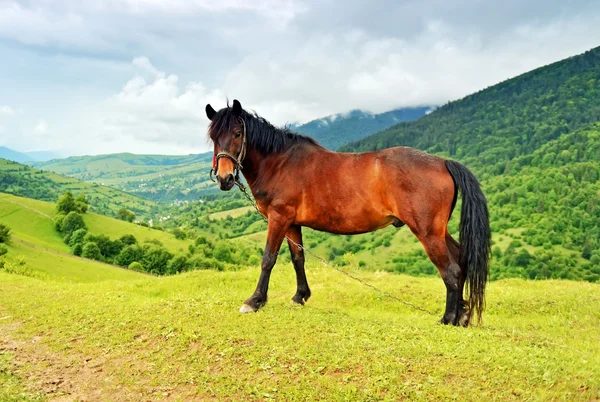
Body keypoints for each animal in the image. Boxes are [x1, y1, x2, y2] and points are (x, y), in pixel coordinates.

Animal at [204, 99, 490, 326]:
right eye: (214, 138)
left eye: (238, 133)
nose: (225, 179)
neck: (280, 162)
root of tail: (442, 162)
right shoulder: (292, 223)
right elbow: (298, 259)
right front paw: (300, 296)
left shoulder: (278, 218)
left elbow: (268, 259)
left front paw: (254, 301)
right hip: (439, 231)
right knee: (461, 260)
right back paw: (462, 315)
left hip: (428, 232)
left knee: (451, 269)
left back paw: (448, 318)